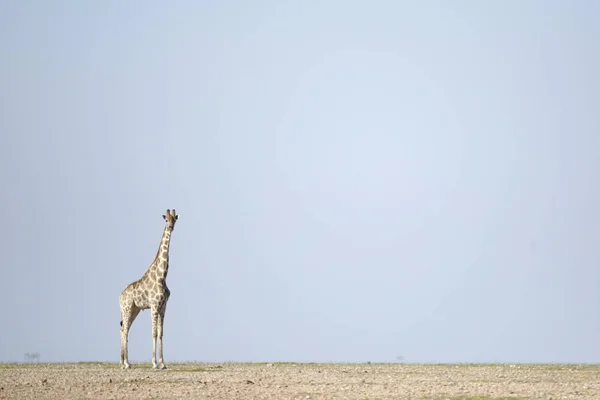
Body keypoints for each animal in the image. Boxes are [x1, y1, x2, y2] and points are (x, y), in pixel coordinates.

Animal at [119, 209, 178, 368]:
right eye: (166, 220)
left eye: (174, 219)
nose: (171, 227)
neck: (162, 275)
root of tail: (120, 296)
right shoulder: (154, 305)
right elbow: (153, 333)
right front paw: (154, 363)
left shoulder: (163, 307)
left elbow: (160, 333)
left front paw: (163, 364)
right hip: (127, 308)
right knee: (124, 329)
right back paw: (126, 363)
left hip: (134, 310)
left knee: (124, 329)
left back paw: (123, 362)